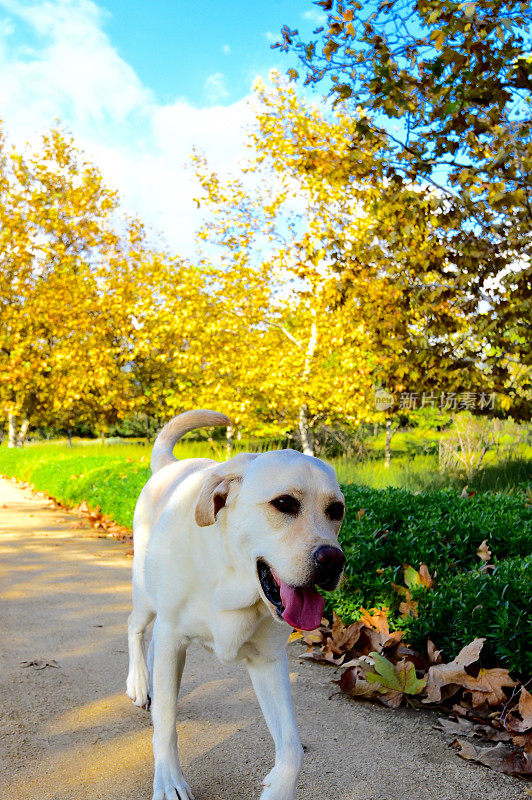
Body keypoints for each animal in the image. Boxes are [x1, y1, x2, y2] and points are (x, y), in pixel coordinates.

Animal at [127, 412, 348, 800]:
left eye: (336, 510)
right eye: (284, 503)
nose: (333, 561)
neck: (230, 580)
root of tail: (170, 464)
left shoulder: (268, 661)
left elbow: (292, 746)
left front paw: (279, 789)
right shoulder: (173, 638)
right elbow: (166, 725)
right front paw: (168, 780)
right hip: (145, 595)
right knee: (136, 630)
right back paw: (140, 682)